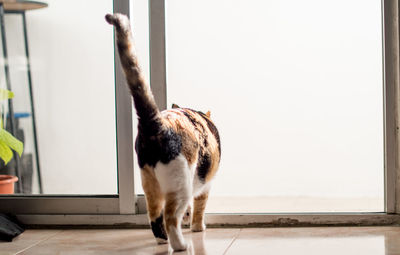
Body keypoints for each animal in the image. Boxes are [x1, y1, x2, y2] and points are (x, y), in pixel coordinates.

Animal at [104, 12, 220, 250]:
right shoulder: (206, 185)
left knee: (154, 216)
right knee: (170, 217)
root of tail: (154, 122)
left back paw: (162, 241)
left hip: (149, 181)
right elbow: (199, 208)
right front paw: (197, 227)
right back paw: (180, 245)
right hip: (180, 181)